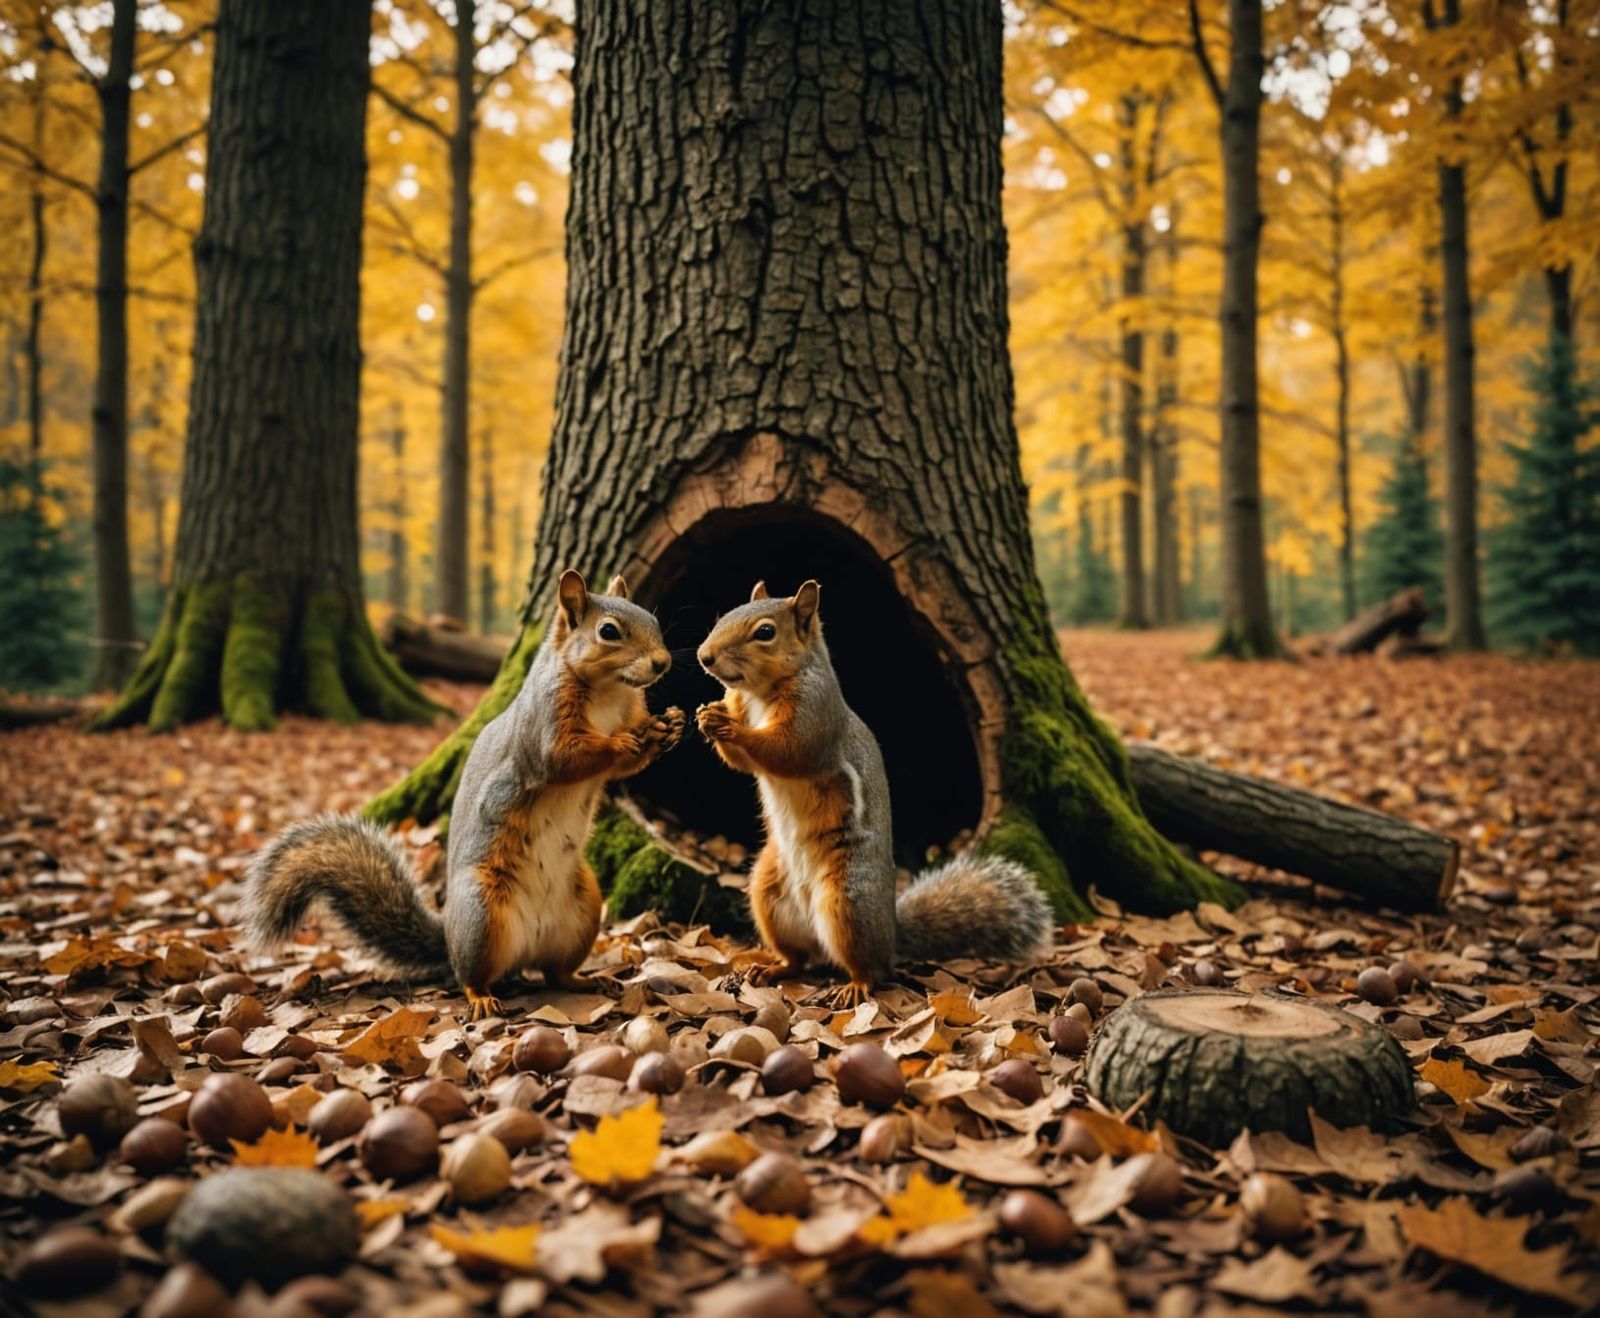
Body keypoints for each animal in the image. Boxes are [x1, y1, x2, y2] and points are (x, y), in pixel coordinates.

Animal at [242, 569, 684, 1019]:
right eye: (608, 631)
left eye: (651, 618)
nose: (662, 663)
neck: (610, 691)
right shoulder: (543, 727)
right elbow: (565, 758)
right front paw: (624, 742)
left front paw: (669, 727)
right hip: (482, 913)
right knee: (470, 976)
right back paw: (483, 998)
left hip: (585, 906)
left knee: (555, 972)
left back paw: (586, 980)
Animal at [694, 580, 1052, 1007]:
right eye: (724, 615)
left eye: (765, 632)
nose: (704, 657)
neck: (760, 693)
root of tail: (891, 936)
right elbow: (743, 763)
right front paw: (709, 715)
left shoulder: (814, 716)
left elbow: (786, 751)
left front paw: (732, 728)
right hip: (767, 892)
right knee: (798, 959)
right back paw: (770, 968)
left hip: (849, 902)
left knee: (870, 967)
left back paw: (855, 985)